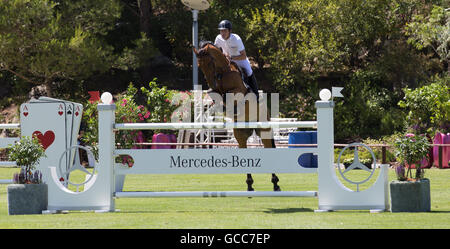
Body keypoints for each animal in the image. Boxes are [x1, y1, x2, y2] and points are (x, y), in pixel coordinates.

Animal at [193, 41, 282, 192]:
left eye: (210, 63)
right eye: (199, 66)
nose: (212, 83)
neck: (223, 73)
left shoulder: (238, 90)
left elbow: (228, 95)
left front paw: (227, 106)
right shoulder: (215, 90)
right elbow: (214, 94)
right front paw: (217, 105)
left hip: (264, 131)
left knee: (269, 147)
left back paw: (275, 183)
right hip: (241, 135)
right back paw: (250, 184)